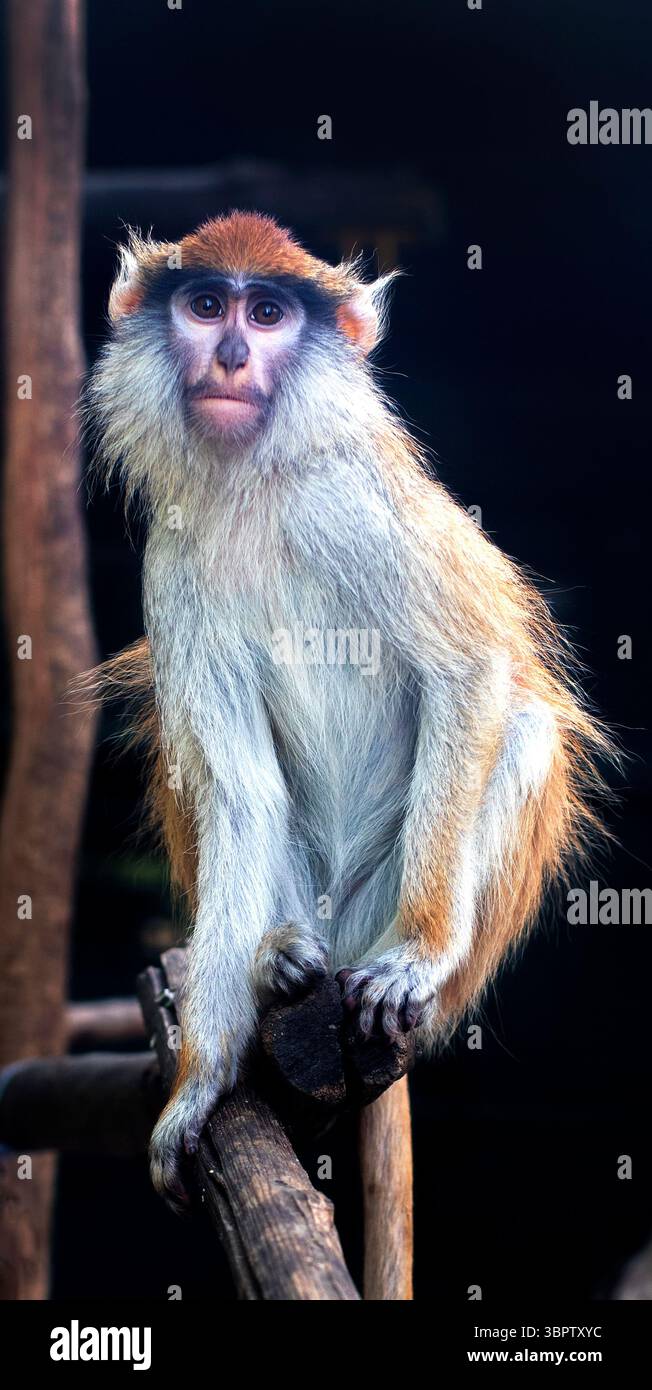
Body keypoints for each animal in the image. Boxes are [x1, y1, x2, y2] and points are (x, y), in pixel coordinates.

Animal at [85, 211, 613, 1233]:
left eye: (268, 312)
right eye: (205, 305)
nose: (233, 355)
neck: (256, 482)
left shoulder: (355, 498)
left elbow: (473, 672)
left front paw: (421, 956)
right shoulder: (173, 556)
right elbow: (241, 795)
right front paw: (199, 1086)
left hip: (380, 914)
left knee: (525, 728)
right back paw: (276, 966)